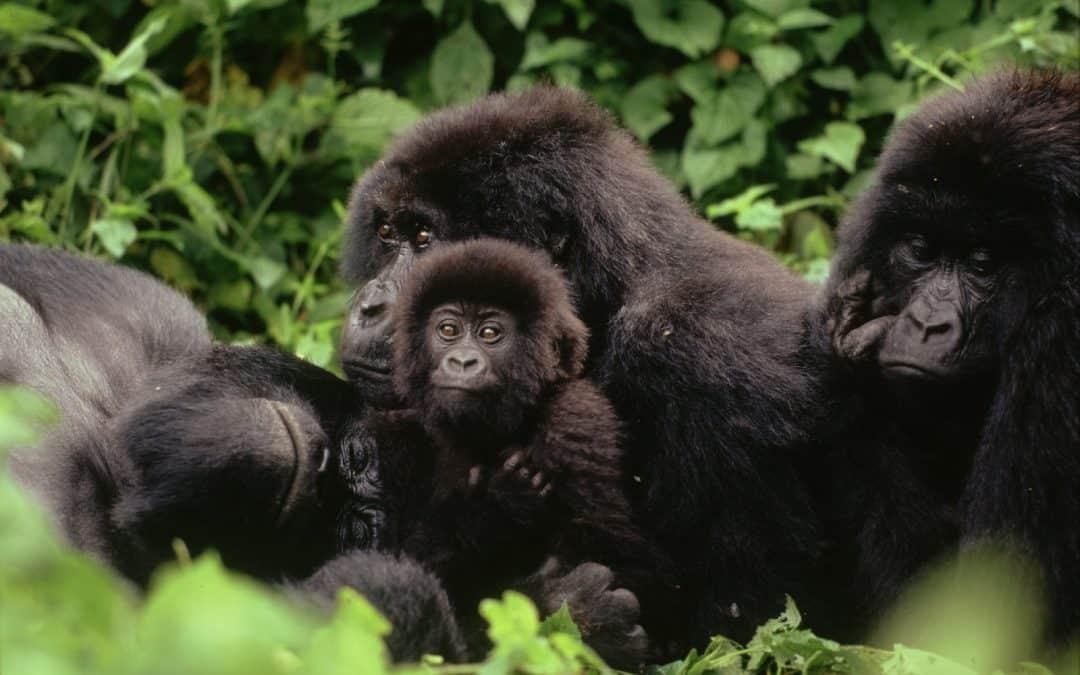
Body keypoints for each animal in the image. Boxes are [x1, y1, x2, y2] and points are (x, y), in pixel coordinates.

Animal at [367, 240, 660, 665]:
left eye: (490, 333)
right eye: (448, 330)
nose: (462, 361)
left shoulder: (576, 420)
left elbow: (626, 562)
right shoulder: (389, 436)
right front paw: (496, 509)